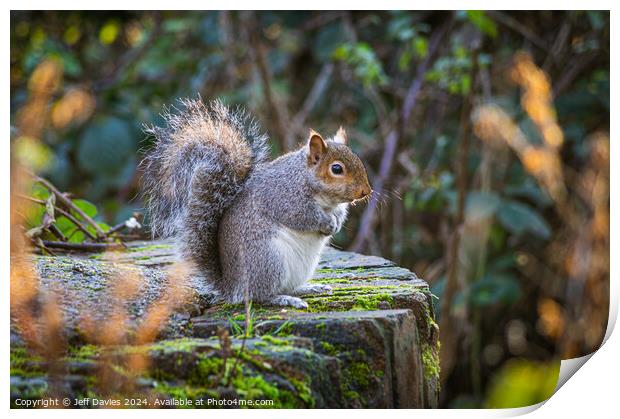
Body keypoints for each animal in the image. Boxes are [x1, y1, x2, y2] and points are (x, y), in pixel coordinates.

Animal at [142, 98, 372, 308]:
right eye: (336, 169)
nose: (366, 192)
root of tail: (232, 287)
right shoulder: (286, 198)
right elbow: (303, 216)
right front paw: (327, 223)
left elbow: (339, 214)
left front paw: (337, 223)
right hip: (268, 260)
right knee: (259, 295)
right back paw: (284, 299)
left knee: (286, 287)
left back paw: (308, 288)